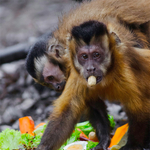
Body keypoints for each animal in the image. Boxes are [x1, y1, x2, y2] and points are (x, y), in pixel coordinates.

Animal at [34, 0, 150, 149]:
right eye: (47, 82)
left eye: (51, 77)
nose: (57, 87)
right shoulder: (79, 75)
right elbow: (73, 109)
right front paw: (104, 139)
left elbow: (140, 107)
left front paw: (132, 145)